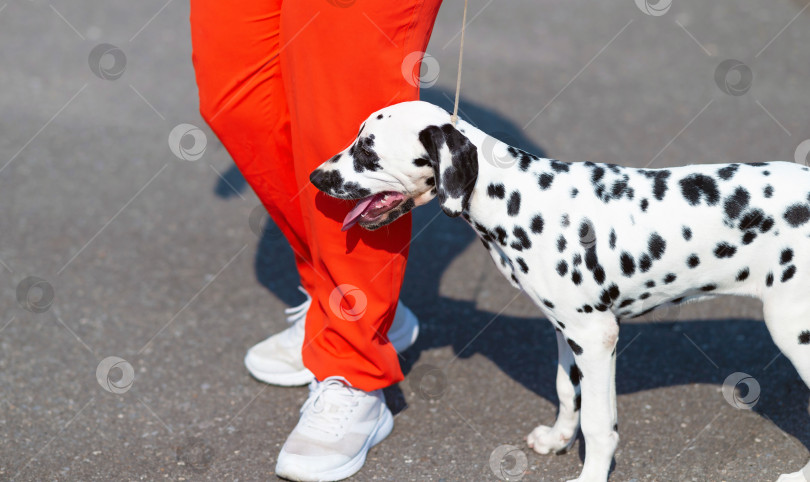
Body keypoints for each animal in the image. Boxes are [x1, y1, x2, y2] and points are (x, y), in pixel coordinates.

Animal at [306, 100, 804, 480]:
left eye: (367, 150)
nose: (315, 178)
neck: (520, 198)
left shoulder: (596, 336)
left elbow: (600, 424)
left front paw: (590, 475)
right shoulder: (569, 332)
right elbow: (569, 391)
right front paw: (560, 438)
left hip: (793, 333)